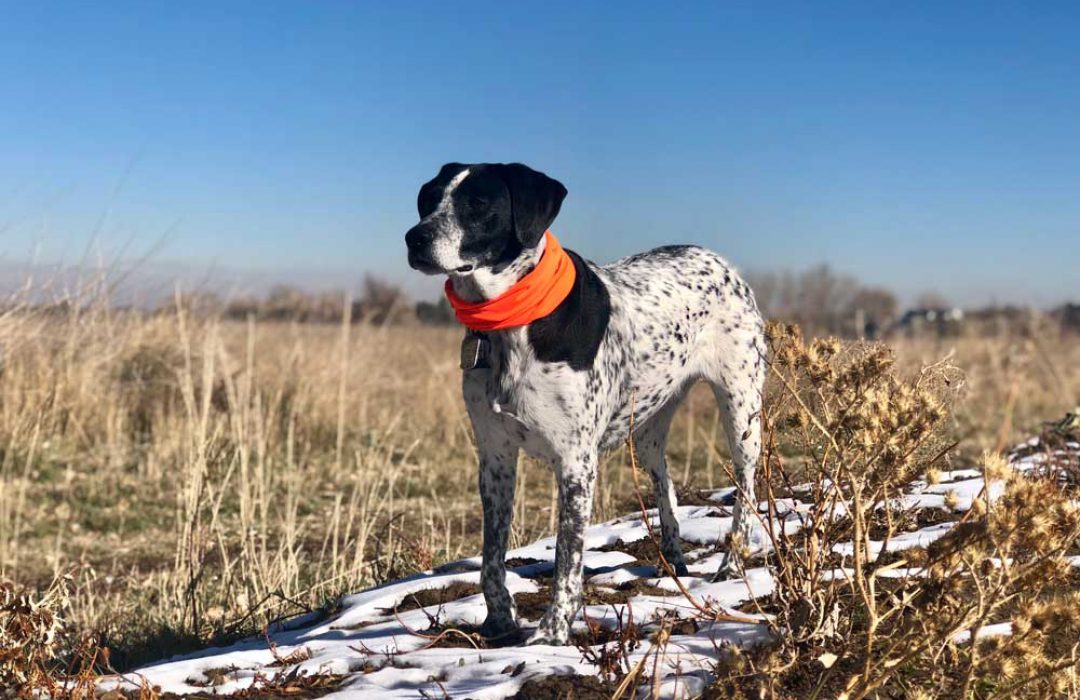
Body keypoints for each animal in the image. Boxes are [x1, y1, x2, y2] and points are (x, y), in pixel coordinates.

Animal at [406, 164, 768, 643]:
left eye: (478, 203)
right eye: (428, 199)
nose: (415, 238)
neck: (512, 321)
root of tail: (718, 259)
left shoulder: (576, 463)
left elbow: (567, 556)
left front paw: (553, 632)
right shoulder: (495, 458)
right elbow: (491, 557)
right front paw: (500, 619)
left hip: (741, 413)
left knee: (745, 490)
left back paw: (732, 563)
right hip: (647, 430)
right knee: (665, 484)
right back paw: (673, 557)